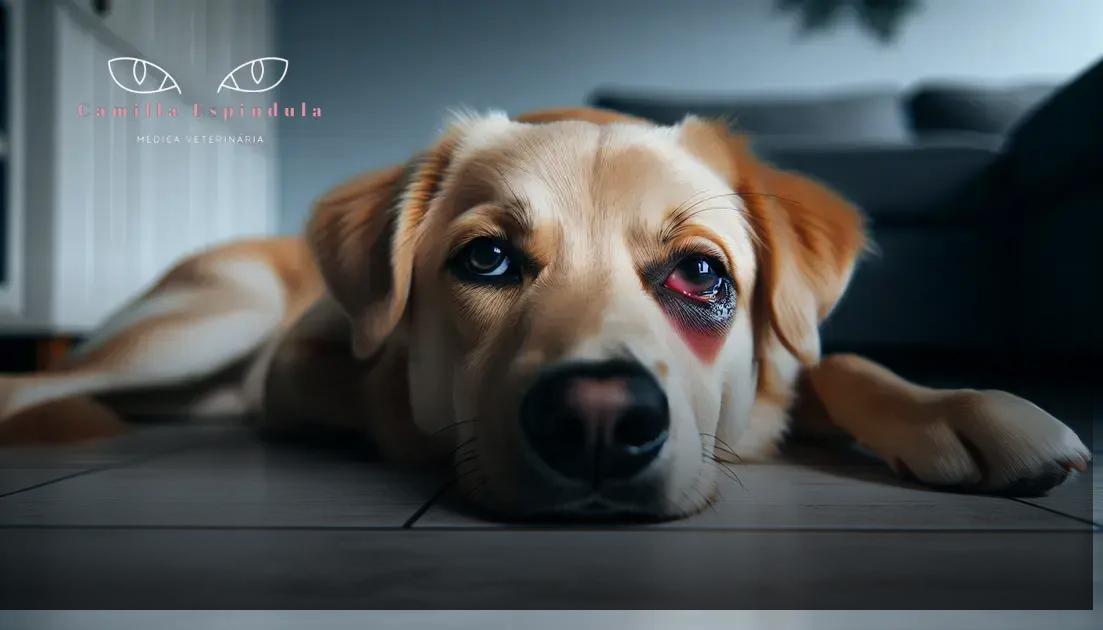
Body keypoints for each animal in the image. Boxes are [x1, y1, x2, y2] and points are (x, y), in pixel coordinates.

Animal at [0, 108, 1089, 520]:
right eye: (484, 258)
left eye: (701, 274)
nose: (599, 422)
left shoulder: (776, 374)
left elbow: (832, 364)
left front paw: (958, 409)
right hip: (208, 320)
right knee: (36, 380)